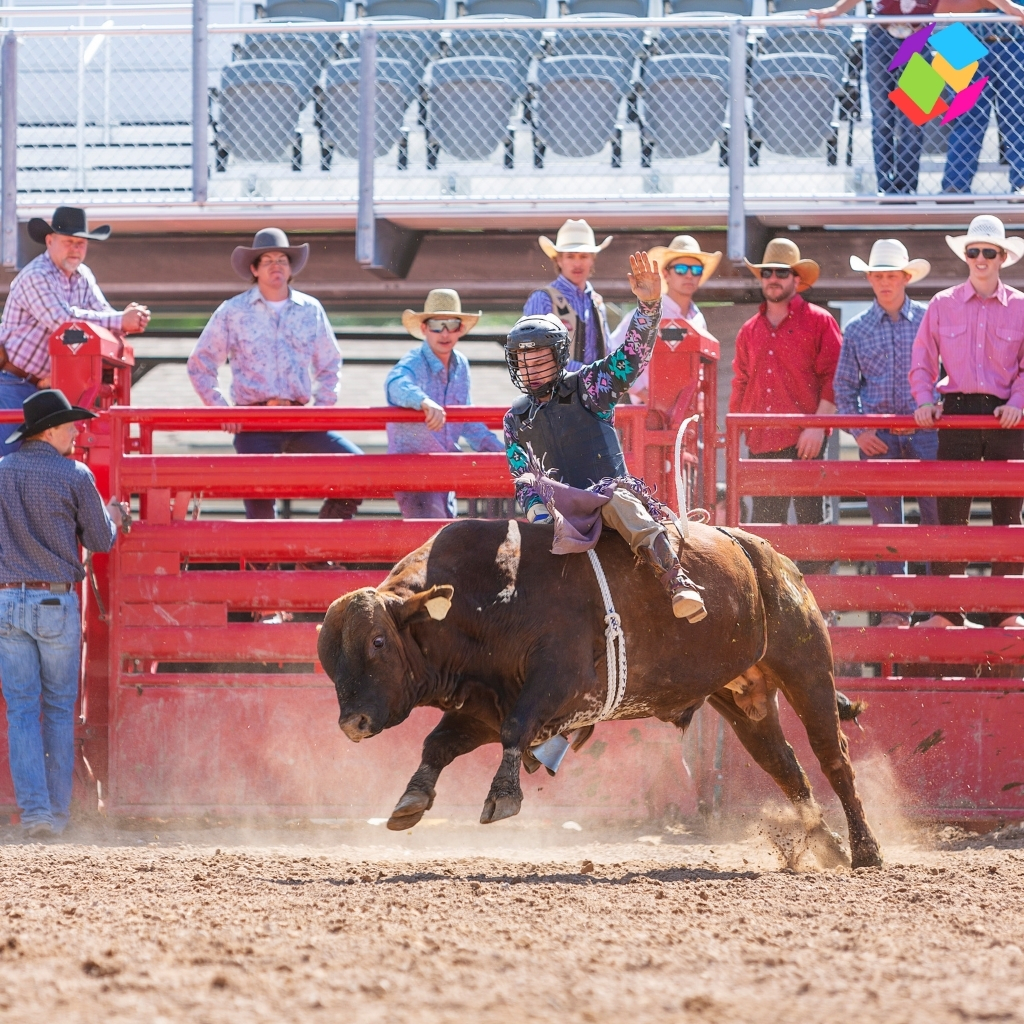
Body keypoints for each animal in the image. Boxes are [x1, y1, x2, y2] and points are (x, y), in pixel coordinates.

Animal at [317, 519, 883, 869]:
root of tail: (768, 555)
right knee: (786, 767)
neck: (491, 597)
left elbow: (515, 730)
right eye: (328, 659)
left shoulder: (554, 686)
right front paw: (412, 798)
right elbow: (439, 743)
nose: (351, 724)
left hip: (805, 666)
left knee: (832, 758)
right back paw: (828, 845)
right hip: (745, 700)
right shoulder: (483, 705)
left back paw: (865, 850)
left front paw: (503, 796)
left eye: (377, 641)